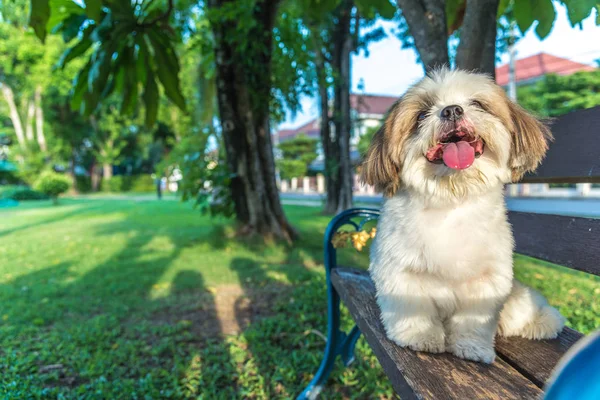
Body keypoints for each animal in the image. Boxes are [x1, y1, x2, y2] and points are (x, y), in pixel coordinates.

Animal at [364, 69, 564, 362]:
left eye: (477, 103)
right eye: (421, 115)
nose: (451, 110)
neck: (451, 200)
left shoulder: (487, 281)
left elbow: (473, 319)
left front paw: (472, 348)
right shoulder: (402, 272)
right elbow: (415, 309)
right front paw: (421, 337)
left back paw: (543, 322)